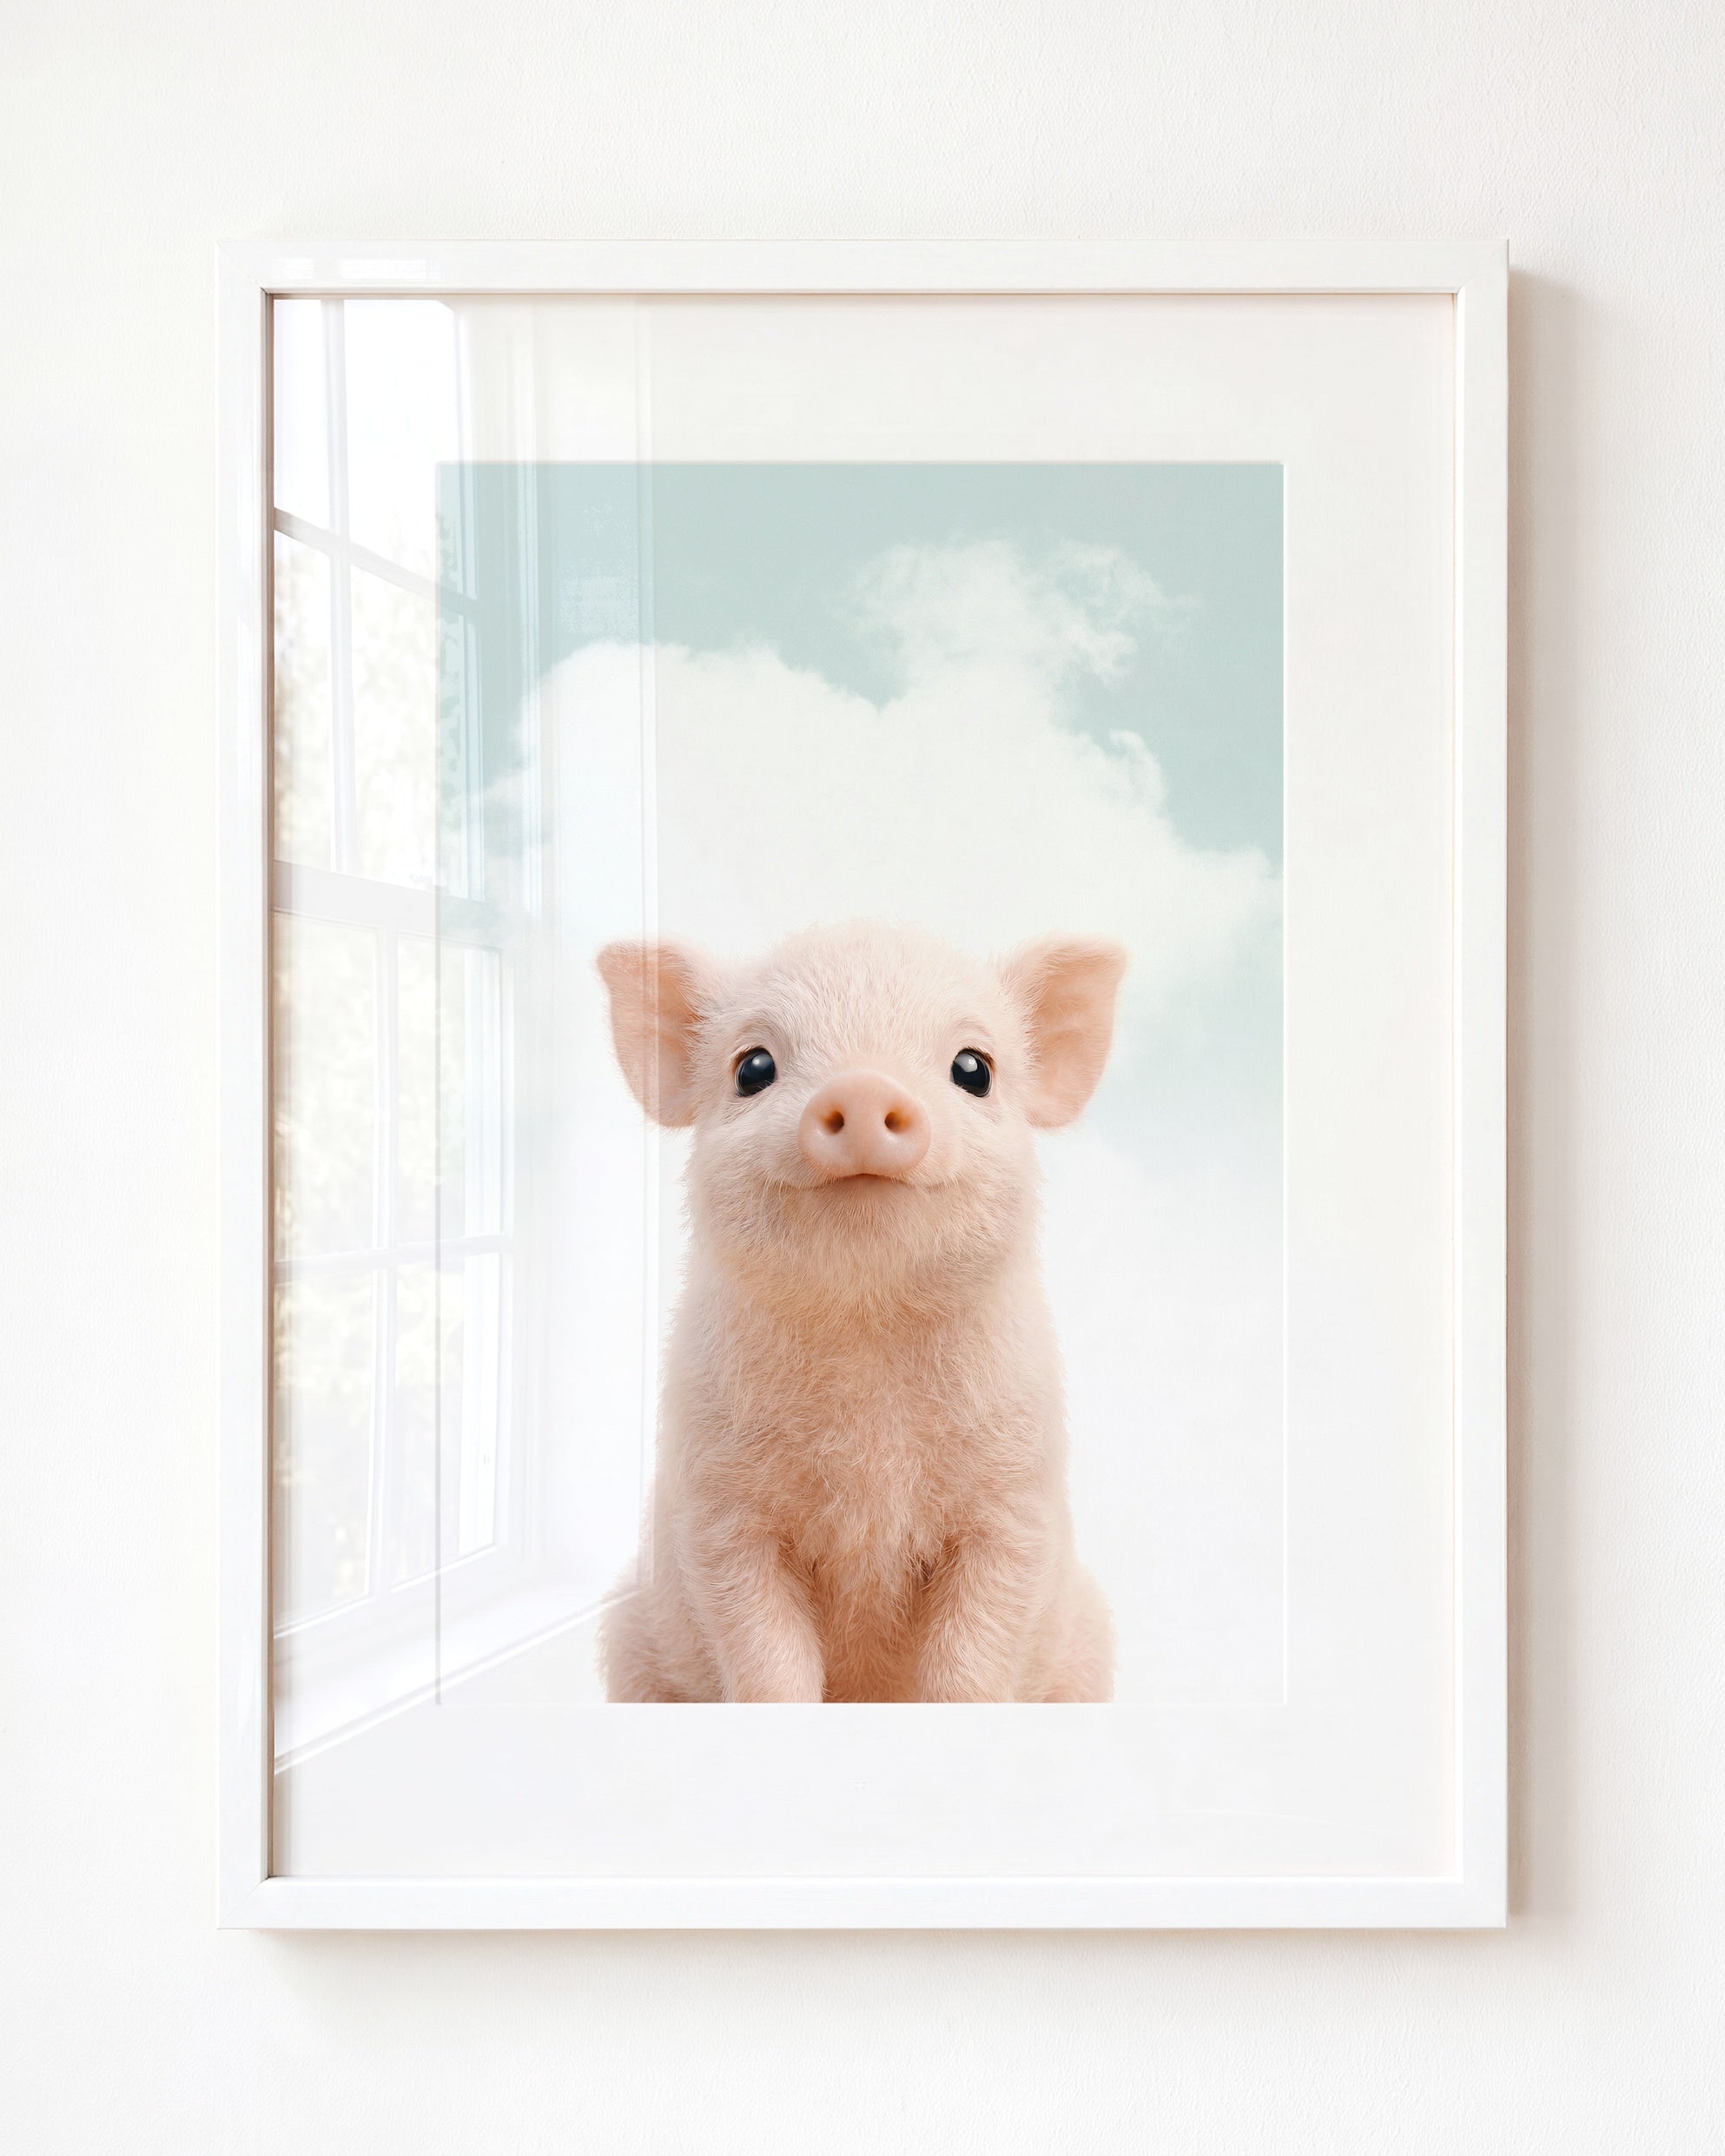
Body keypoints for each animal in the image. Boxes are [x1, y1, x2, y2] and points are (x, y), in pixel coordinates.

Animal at [594, 920, 1126, 1703]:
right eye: (753, 1067)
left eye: (975, 1068)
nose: (865, 1084)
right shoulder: (719, 1514)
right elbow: (768, 1661)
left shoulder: (1015, 1503)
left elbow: (969, 1663)